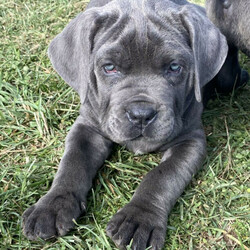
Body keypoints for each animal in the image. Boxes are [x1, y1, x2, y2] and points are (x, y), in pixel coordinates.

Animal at [22, 0, 229, 249]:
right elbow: (73, 162)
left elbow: (162, 176)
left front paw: (139, 218)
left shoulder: (190, 140)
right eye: (110, 67)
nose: (141, 115)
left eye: (174, 67)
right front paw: (52, 205)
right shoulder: (87, 127)